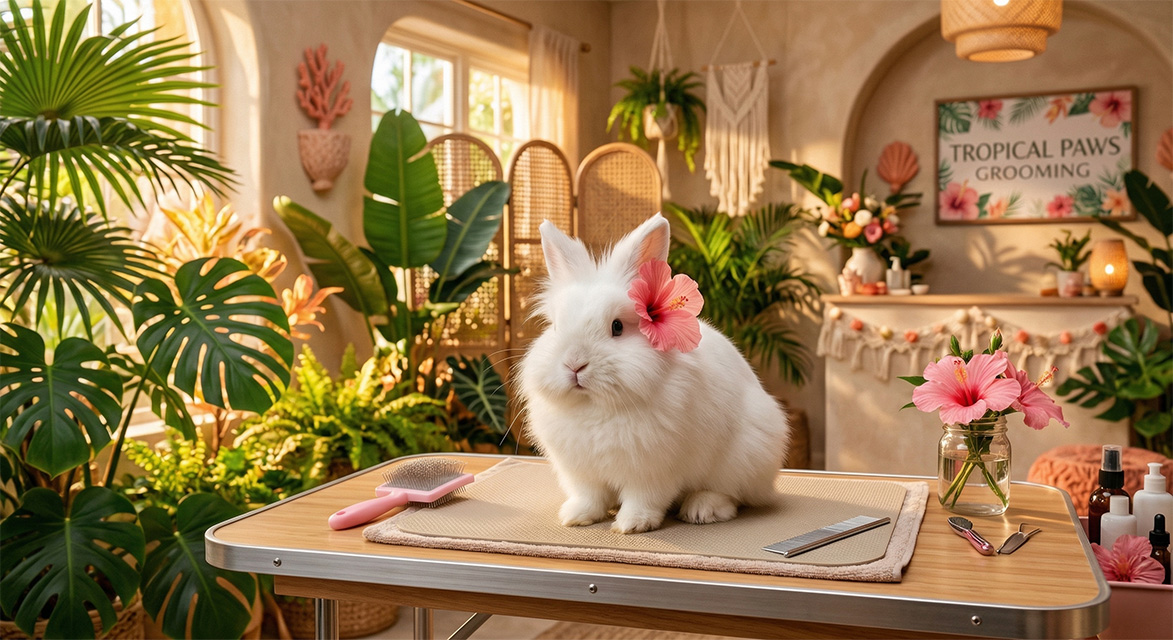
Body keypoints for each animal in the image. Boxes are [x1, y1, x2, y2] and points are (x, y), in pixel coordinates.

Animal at [518, 213, 791, 534]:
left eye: (617, 327)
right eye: (556, 327)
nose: (574, 364)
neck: (595, 407)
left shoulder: (653, 469)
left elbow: (644, 497)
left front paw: (632, 524)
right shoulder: (582, 472)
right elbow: (589, 496)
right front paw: (576, 516)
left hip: (744, 456)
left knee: (731, 494)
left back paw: (702, 509)